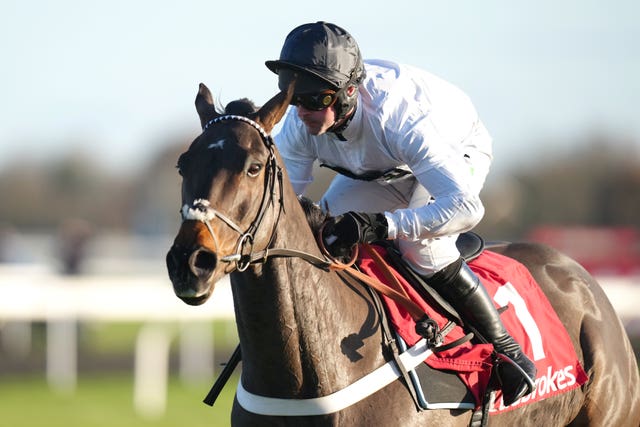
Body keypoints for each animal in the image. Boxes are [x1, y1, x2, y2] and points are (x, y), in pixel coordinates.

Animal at [166, 82, 640, 426]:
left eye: (253, 167)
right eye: (183, 165)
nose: (190, 262)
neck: (304, 378)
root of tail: (582, 277)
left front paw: (360, 226)